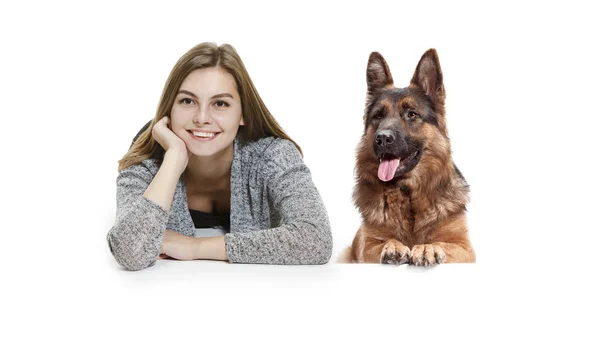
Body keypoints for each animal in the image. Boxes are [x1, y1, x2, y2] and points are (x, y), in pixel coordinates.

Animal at [340, 48, 476, 266]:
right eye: (378, 116)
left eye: (411, 114)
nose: (382, 138)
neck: (408, 194)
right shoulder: (365, 247)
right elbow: (386, 240)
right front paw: (394, 246)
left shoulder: (464, 247)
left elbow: (440, 243)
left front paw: (427, 248)